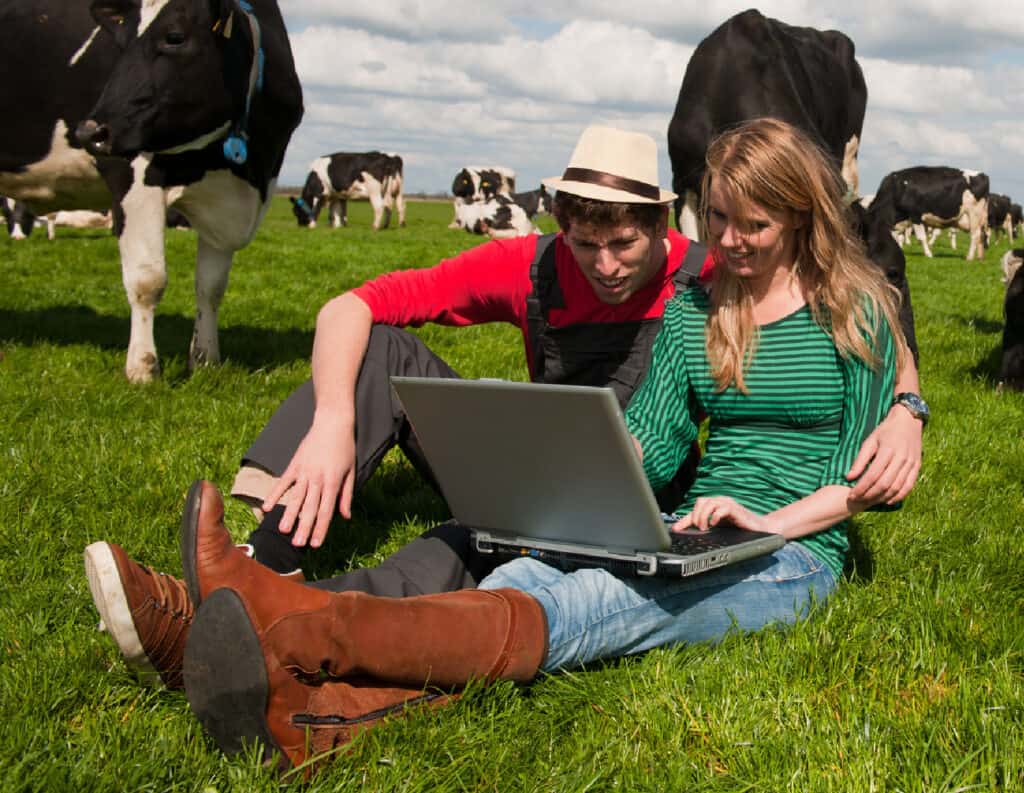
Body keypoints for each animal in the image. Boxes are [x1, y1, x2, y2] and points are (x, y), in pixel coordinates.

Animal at [0, 0, 301, 385]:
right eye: (120, 43)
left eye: (175, 37)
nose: (89, 132)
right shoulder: (132, 173)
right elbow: (148, 279)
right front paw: (143, 368)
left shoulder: (227, 200)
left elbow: (211, 287)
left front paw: (205, 361)